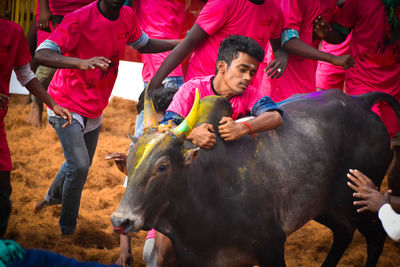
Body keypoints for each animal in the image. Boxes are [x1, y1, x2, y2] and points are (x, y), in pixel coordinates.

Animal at [111, 90, 400, 267]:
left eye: (162, 166)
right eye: (129, 161)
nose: (120, 220)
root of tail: (361, 101)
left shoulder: (272, 246)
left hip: (357, 202)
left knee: (376, 237)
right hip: (326, 207)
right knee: (343, 232)